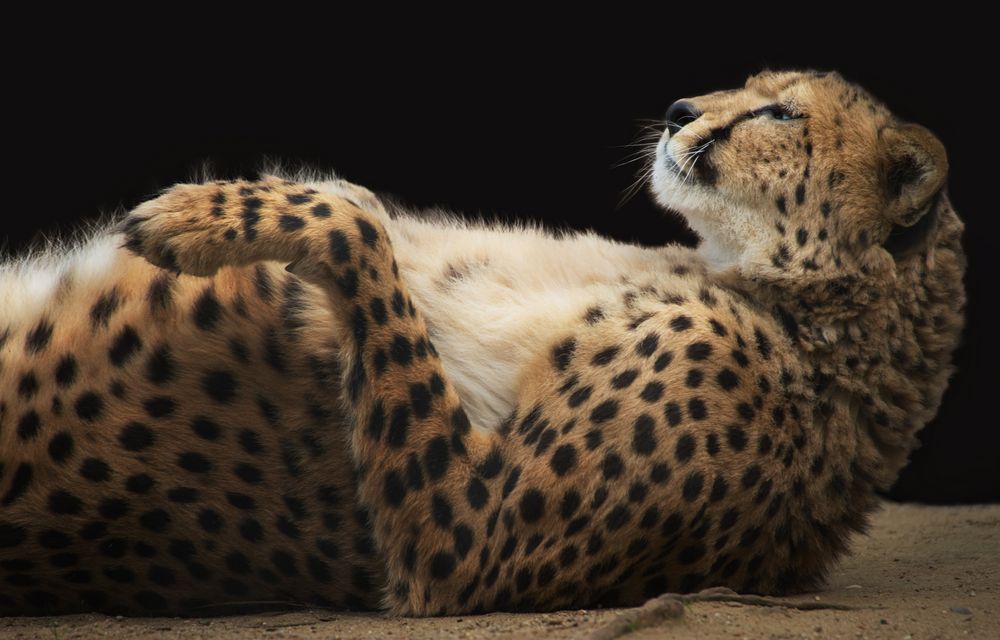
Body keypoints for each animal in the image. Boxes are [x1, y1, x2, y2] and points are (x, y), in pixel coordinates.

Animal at [1, 70, 968, 616]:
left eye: (779, 113)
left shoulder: (466, 547)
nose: (677, 109)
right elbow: (367, 214)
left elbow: (355, 219)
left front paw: (205, 217)